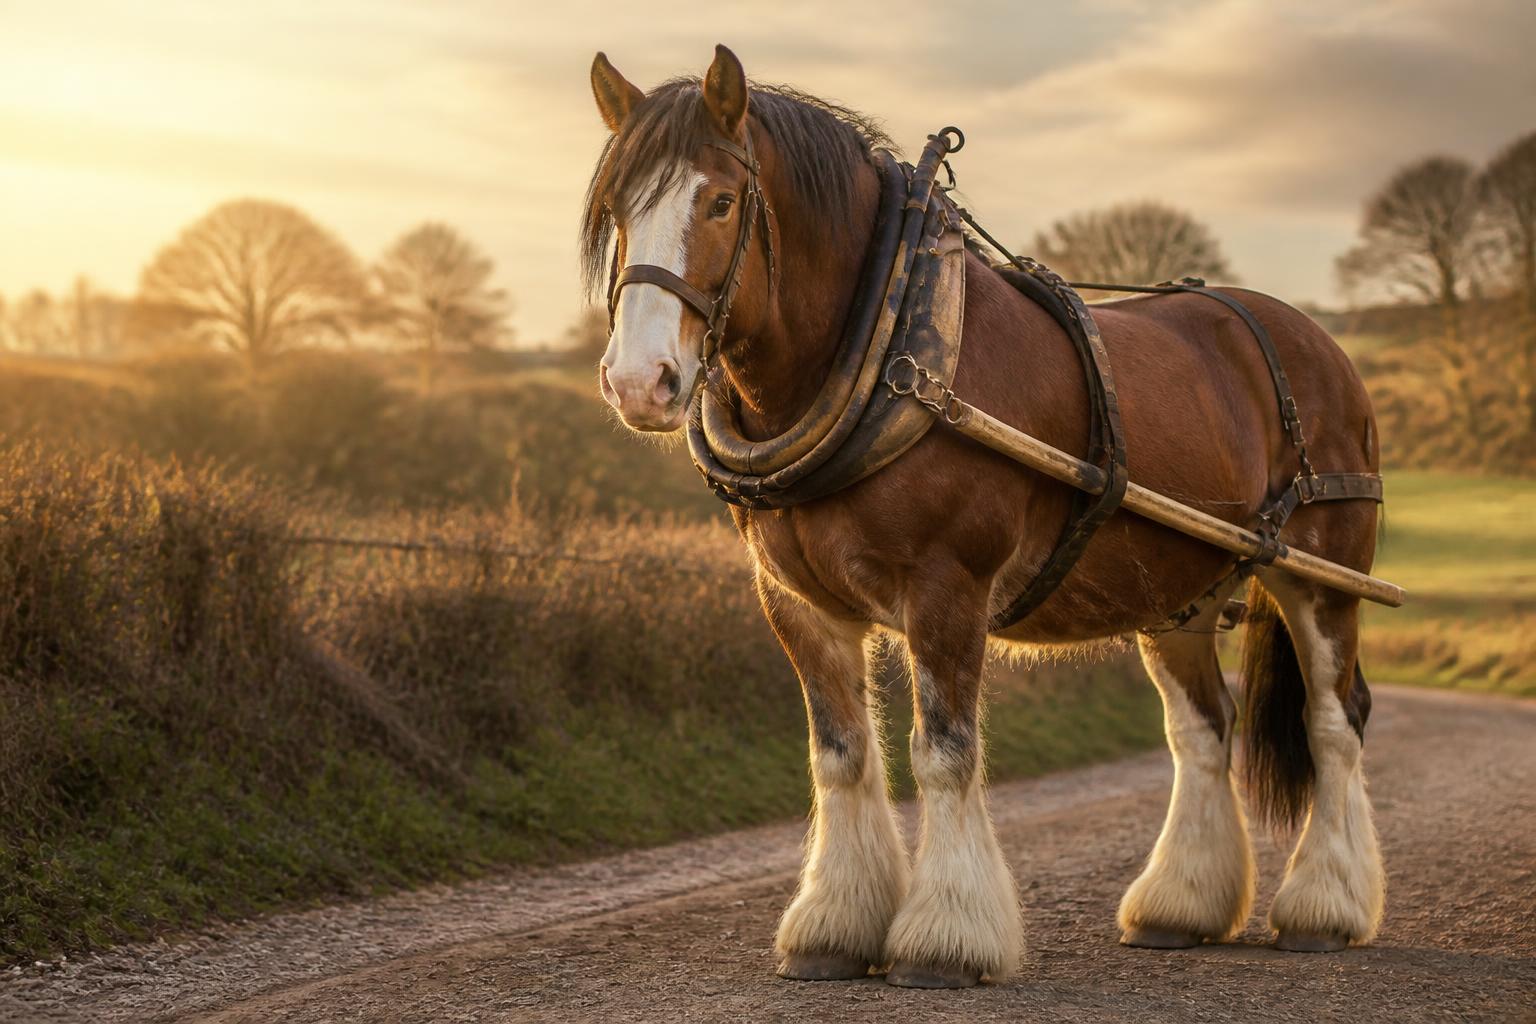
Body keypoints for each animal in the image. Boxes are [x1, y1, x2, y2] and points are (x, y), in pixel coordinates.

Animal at [583, 45, 1385, 988]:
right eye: (617, 210)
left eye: (719, 200)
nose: (640, 382)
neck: (887, 337)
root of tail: (1315, 340)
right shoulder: (797, 603)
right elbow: (840, 757)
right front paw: (832, 927)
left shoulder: (947, 587)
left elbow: (944, 752)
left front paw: (946, 938)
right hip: (1176, 592)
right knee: (1203, 731)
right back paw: (1179, 905)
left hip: (1322, 572)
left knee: (1334, 721)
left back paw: (1325, 908)